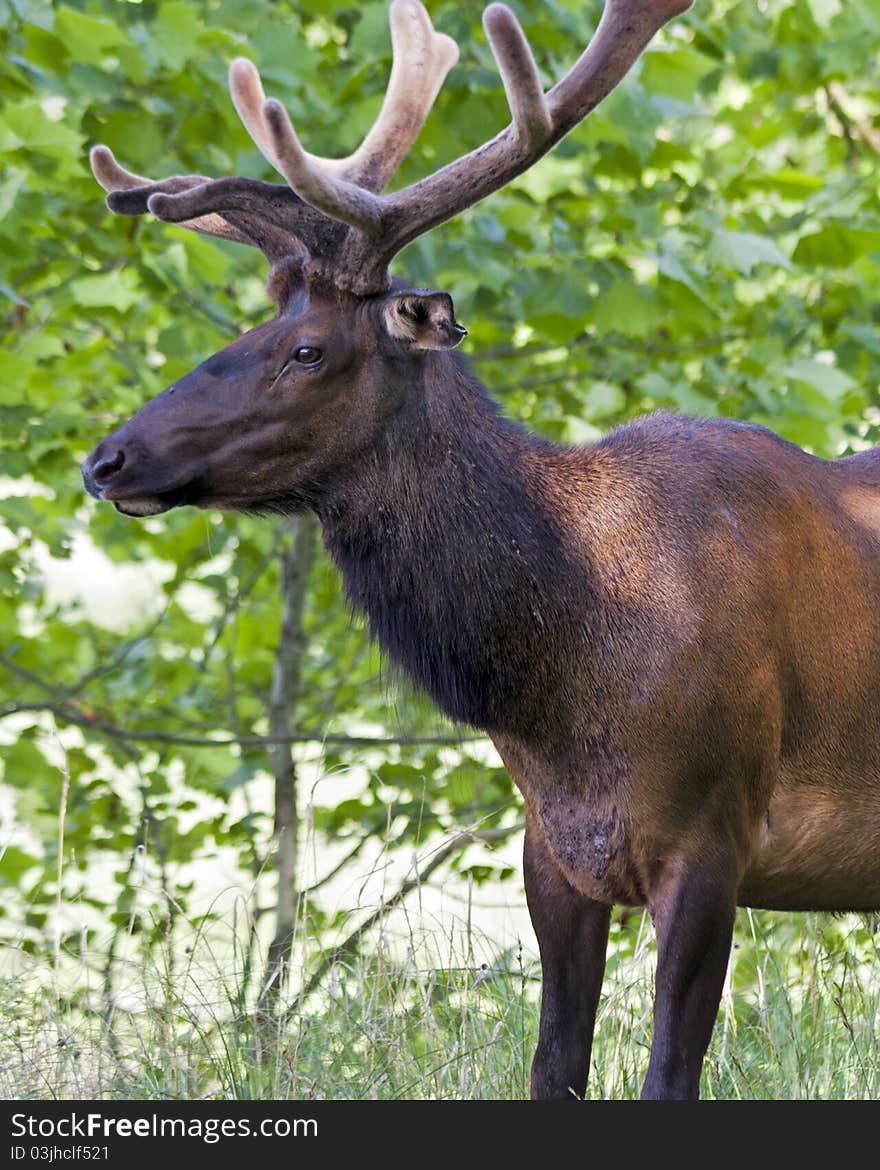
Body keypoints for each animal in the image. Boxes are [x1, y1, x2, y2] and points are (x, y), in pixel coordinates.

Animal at [80, 2, 880, 1095]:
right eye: (249, 327)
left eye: (306, 350)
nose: (108, 459)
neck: (565, 663)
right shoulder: (555, 853)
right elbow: (552, 1067)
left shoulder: (717, 831)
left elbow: (667, 1076)